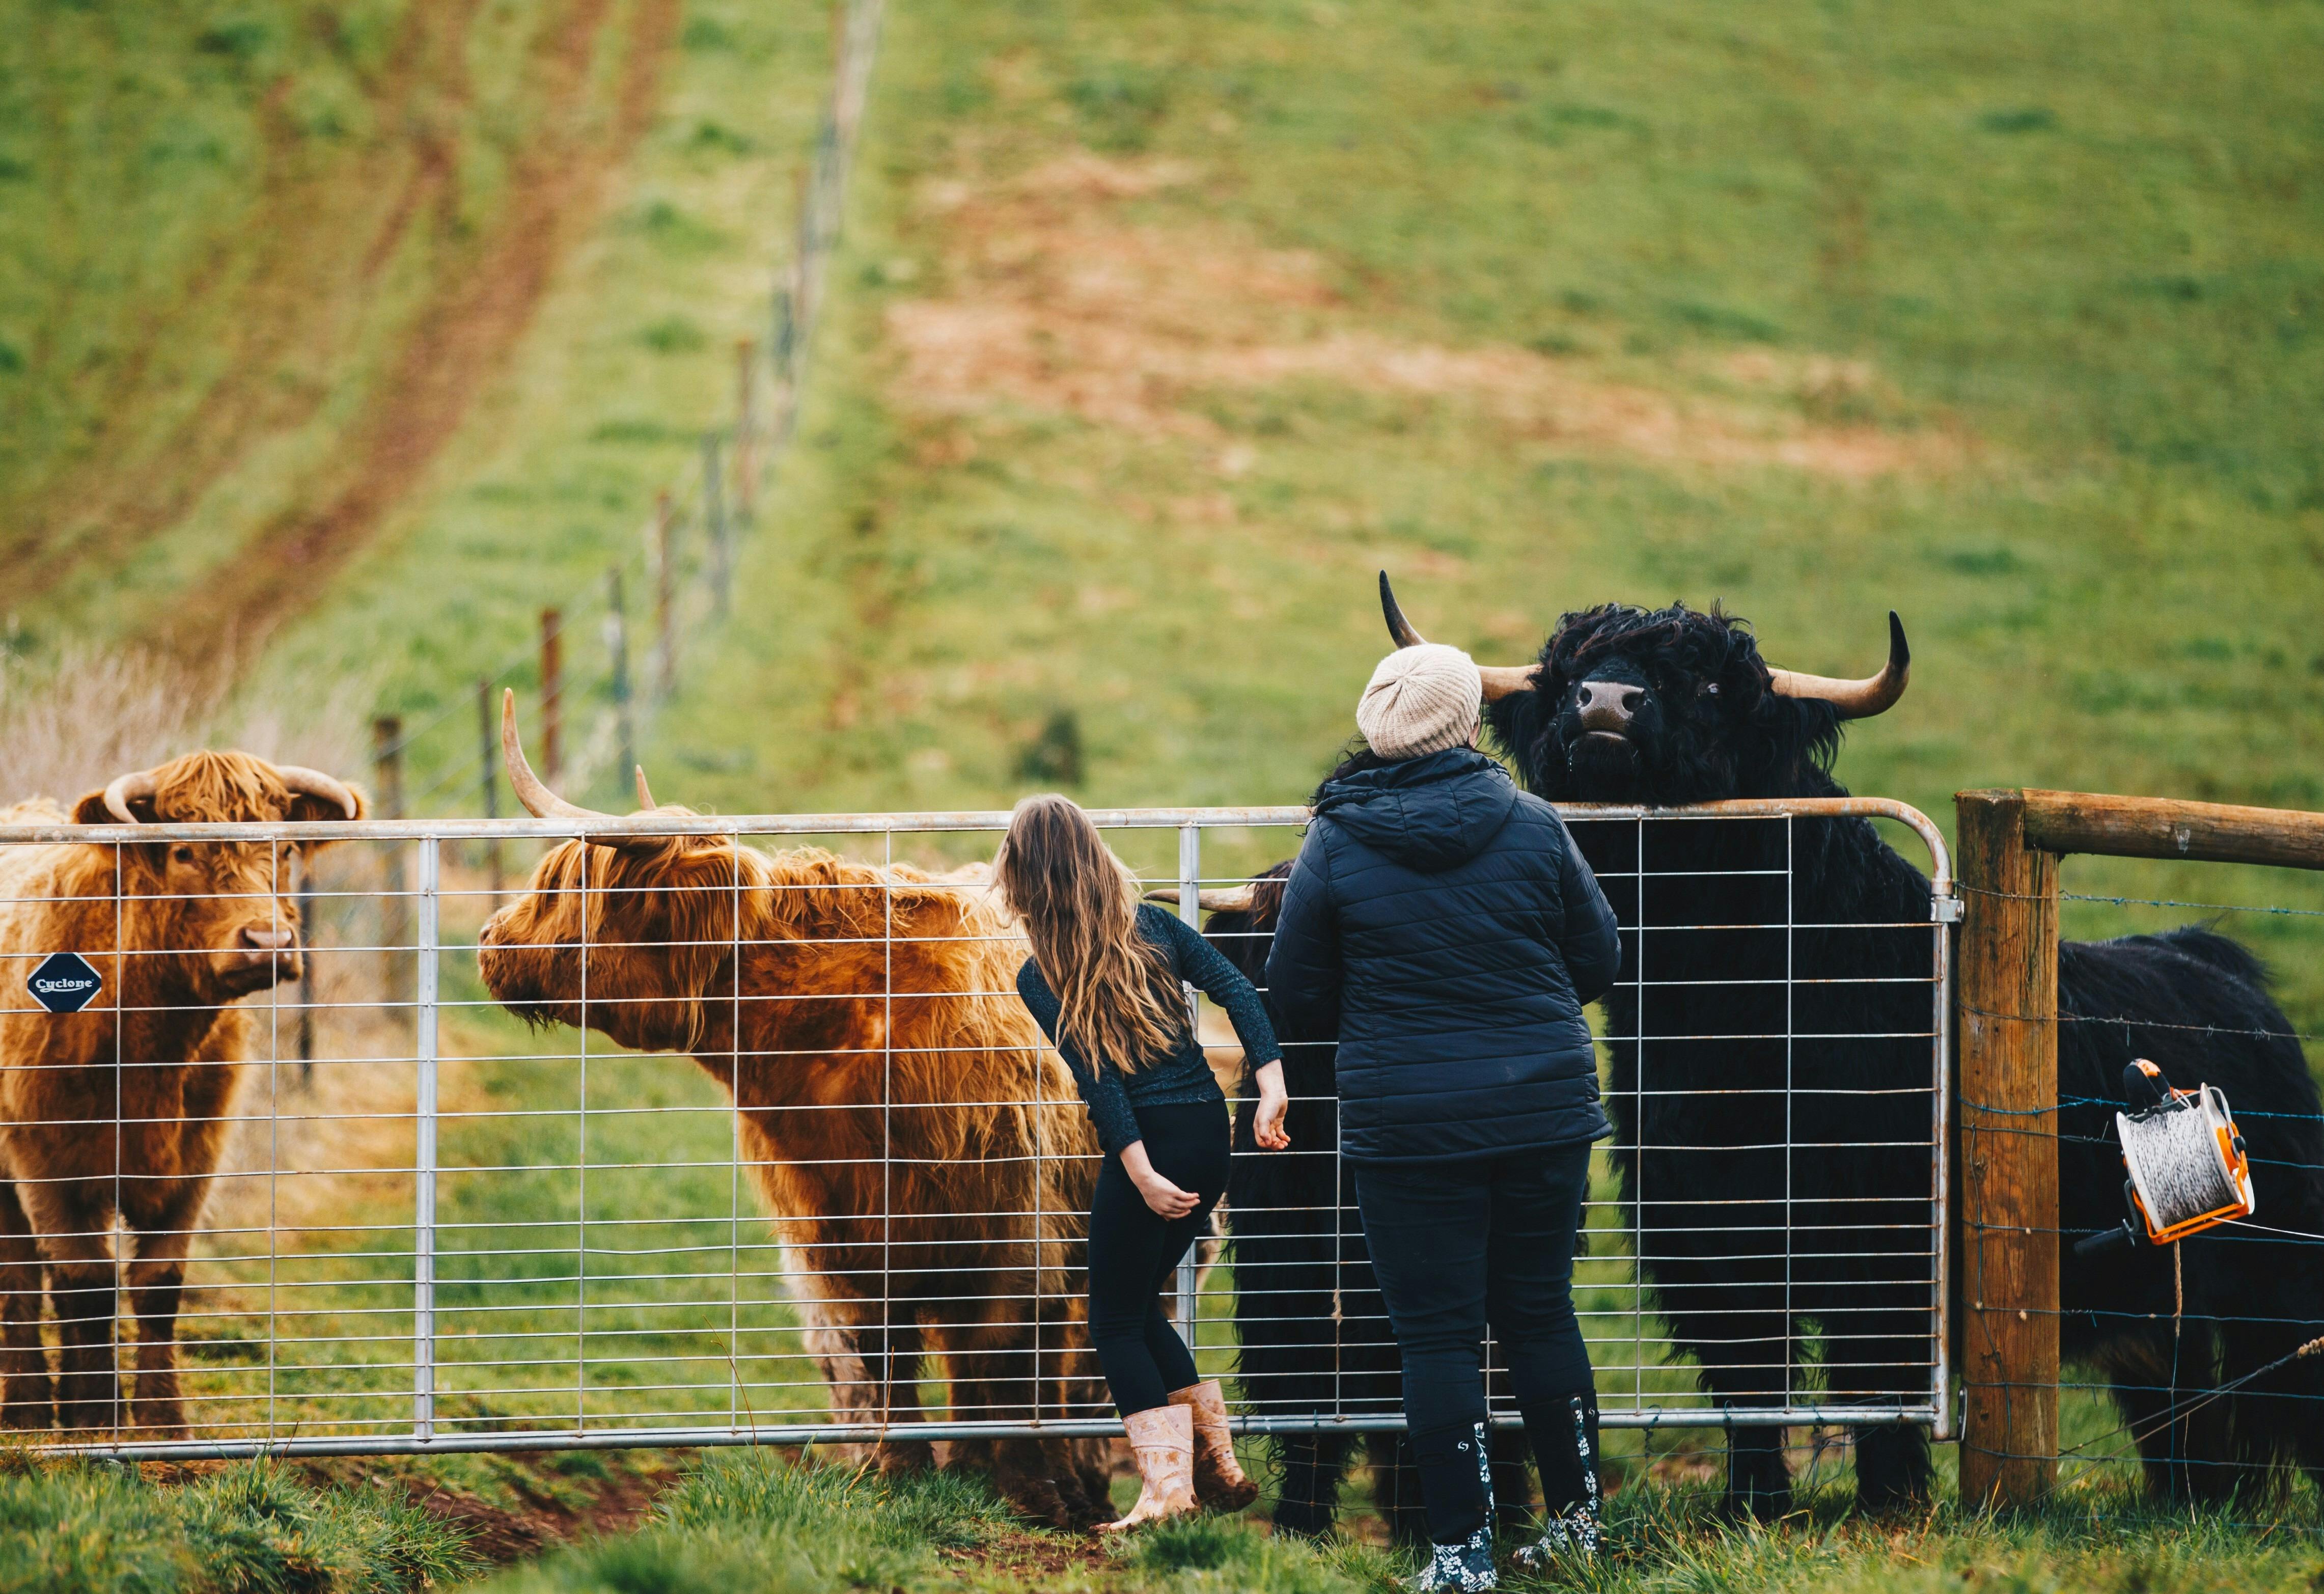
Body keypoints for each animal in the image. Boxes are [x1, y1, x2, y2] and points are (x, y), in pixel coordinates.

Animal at [0, 751, 366, 1437]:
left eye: (284, 848)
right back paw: (29, 1413)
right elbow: (85, 1283)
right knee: (20, 1276)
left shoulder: (197, 1159)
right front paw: (97, 1423)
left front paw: (161, 1421)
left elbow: (157, 1283)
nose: (268, 943)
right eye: (183, 851)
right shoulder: (46, 1158)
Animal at [476, 698, 1115, 1527]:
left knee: (1079, 1354)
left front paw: (1032, 1491)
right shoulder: (833, 1234)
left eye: (572, 884)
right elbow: (879, 1356)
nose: (489, 941)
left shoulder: (1014, 1227)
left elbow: (1005, 1358)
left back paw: (1080, 1476)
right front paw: (897, 1471)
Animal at [1375, 573, 2324, 1514]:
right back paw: (2196, 1503)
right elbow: (1748, 1372)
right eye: (1567, 670)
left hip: (2275, 1274)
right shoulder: (1701, 1228)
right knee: (2180, 1406)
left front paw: (1889, 1501)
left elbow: (1877, 1370)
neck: (1729, 1017)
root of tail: (2221, 969)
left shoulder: (1888, 1226)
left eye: (1710, 682)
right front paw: (1752, 1502)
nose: (1606, 702)